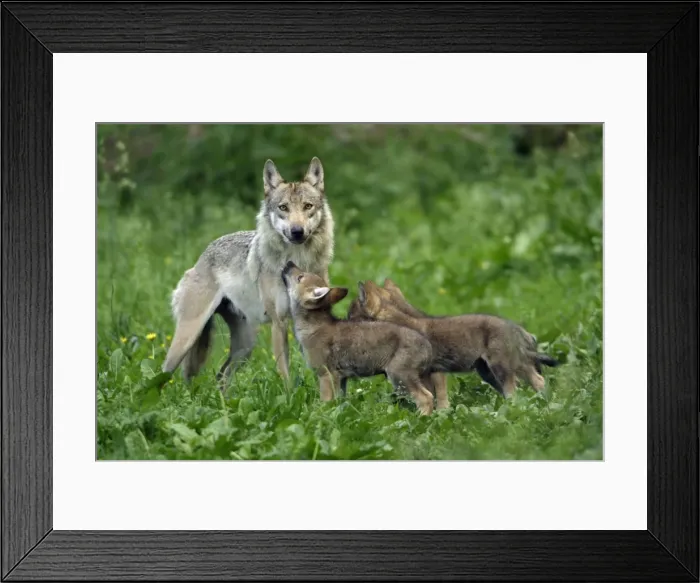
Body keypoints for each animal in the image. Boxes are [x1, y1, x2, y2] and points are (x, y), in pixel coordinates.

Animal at [162, 157, 334, 390]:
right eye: (283, 207)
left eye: (308, 206)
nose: (297, 231)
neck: (297, 260)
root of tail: (202, 256)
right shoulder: (279, 323)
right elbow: (285, 373)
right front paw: (290, 396)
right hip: (188, 337)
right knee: (167, 374)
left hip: (245, 347)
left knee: (221, 376)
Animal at [282, 261, 436, 415]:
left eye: (300, 277)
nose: (289, 263)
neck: (313, 327)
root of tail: (428, 346)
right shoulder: (341, 378)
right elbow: (339, 402)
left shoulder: (325, 375)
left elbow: (326, 403)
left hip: (399, 376)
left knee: (426, 397)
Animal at [353, 280, 559, 398]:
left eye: (350, 316)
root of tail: (520, 330)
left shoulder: (436, 374)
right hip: (494, 371)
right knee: (536, 381)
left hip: (502, 369)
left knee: (522, 387)